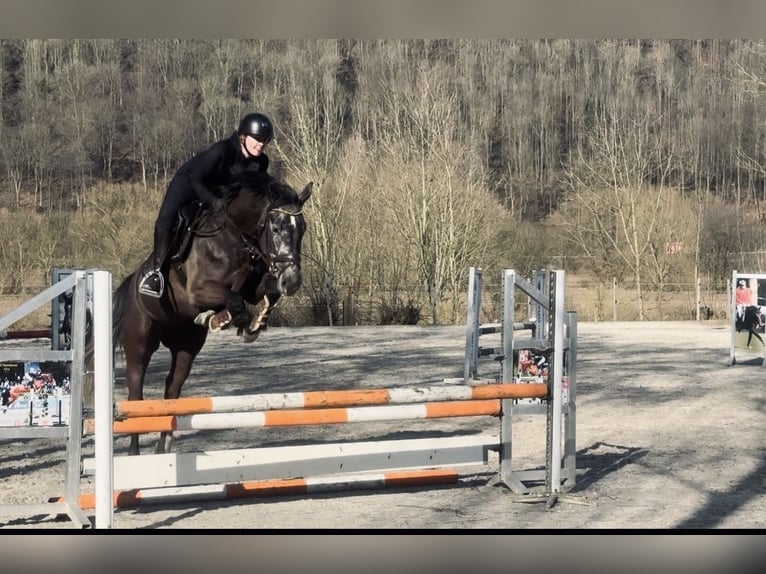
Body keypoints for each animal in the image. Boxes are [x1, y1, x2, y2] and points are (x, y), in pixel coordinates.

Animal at [111, 170, 312, 455]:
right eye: (275, 228)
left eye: (302, 229)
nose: (292, 281)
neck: (235, 238)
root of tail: (132, 281)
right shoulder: (199, 290)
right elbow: (235, 302)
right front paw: (219, 319)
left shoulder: (254, 286)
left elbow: (265, 294)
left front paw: (252, 324)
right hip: (140, 343)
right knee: (135, 394)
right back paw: (134, 453)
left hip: (186, 347)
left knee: (172, 390)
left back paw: (164, 448)